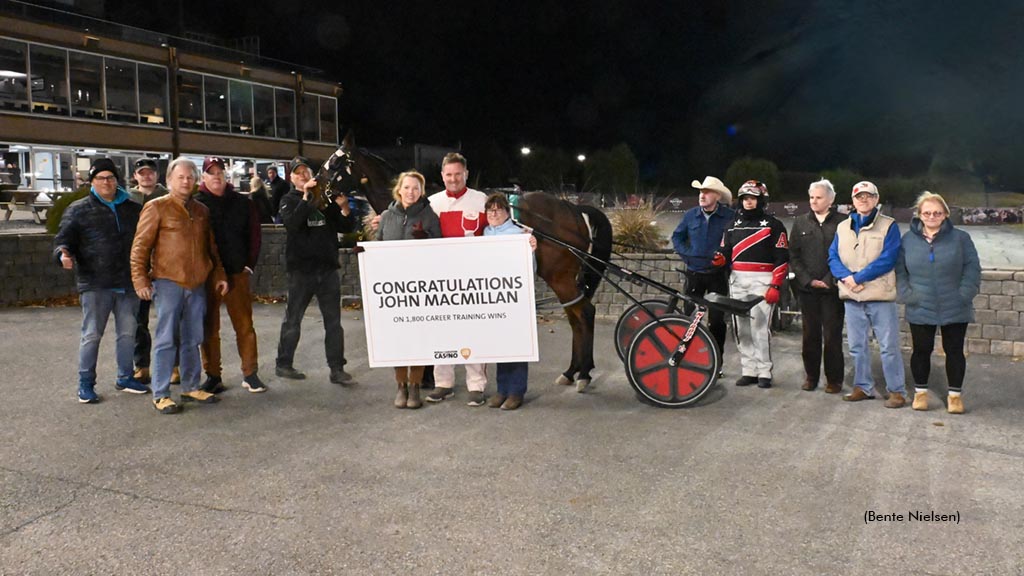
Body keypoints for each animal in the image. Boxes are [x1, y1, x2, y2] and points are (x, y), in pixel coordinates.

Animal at [323, 132, 610, 387]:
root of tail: (572, 208)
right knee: (575, 317)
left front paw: (428, 375)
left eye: (335, 163)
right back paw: (571, 371)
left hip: (559, 276)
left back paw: (583, 374)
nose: (317, 188)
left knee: (585, 313)